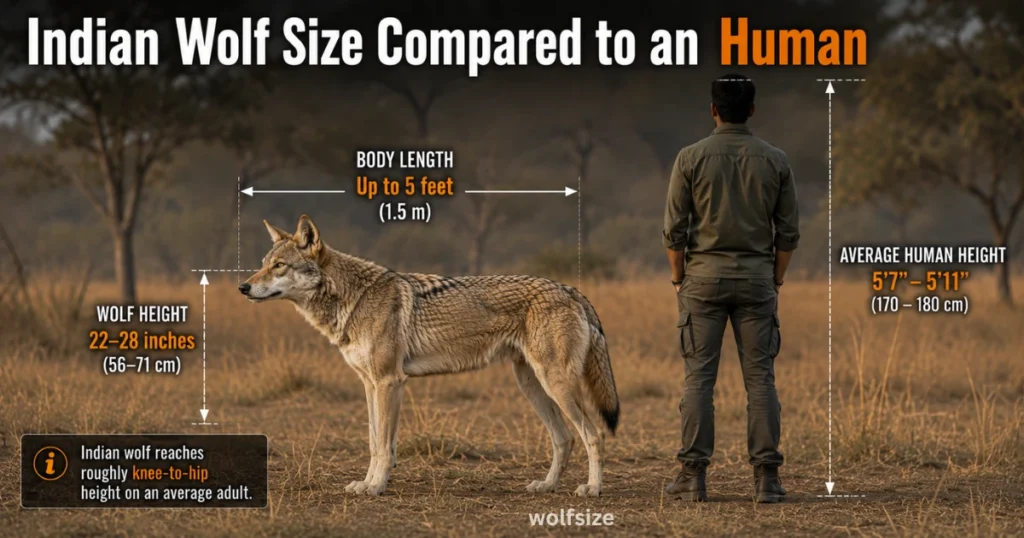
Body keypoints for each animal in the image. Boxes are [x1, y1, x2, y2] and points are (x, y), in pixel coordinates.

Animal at [240, 215, 620, 497]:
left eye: (279, 266)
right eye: (263, 264)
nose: (243, 287)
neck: (353, 298)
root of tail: (572, 290)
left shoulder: (389, 382)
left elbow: (384, 447)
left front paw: (376, 487)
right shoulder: (369, 384)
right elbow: (375, 442)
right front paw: (367, 483)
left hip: (554, 384)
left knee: (594, 435)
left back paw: (592, 489)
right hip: (531, 385)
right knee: (564, 438)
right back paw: (547, 486)